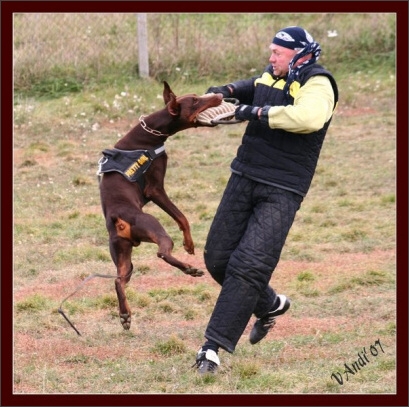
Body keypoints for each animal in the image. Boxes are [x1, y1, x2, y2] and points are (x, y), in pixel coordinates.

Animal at [97, 81, 222, 330]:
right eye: (195, 100)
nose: (221, 95)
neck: (149, 132)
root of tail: (118, 219)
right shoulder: (155, 189)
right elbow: (182, 217)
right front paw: (189, 244)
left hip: (122, 253)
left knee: (119, 280)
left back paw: (125, 315)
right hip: (154, 228)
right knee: (162, 253)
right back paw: (189, 269)